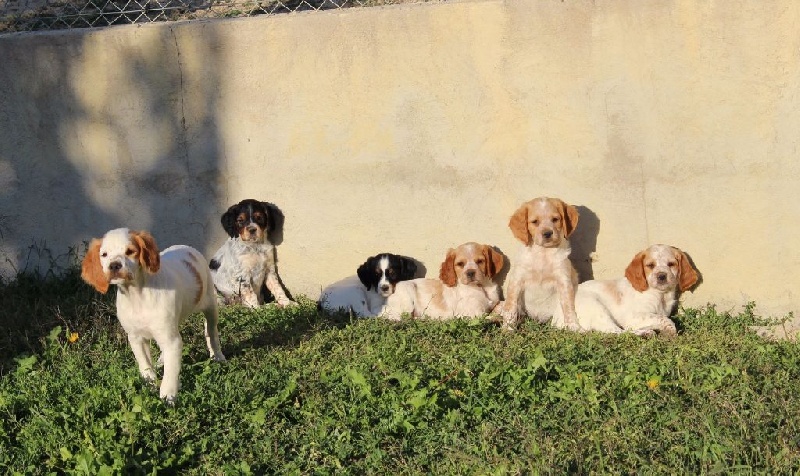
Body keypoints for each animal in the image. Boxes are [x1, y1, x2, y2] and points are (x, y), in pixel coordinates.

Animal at [82, 229, 225, 404]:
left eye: (130, 251)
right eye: (104, 254)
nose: (114, 265)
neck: (137, 295)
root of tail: (187, 248)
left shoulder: (170, 338)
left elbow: (171, 371)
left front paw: (168, 396)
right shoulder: (136, 337)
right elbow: (145, 365)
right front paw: (149, 384)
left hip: (210, 305)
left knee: (211, 331)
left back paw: (218, 356)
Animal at [494, 197, 580, 330]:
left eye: (555, 219)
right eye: (535, 222)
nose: (547, 233)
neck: (543, 253)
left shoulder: (564, 281)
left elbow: (568, 306)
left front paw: (573, 326)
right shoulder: (516, 281)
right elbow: (510, 307)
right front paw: (507, 328)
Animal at [552, 244, 696, 336]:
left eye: (671, 264)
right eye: (650, 265)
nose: (661, 276)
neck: (660, 295)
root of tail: (556, 319)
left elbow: (660, 317)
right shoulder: (633, 316)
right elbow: (663, 318)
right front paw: (671, 330)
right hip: (596, 307)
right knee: (616, 331)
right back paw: (644, 333)